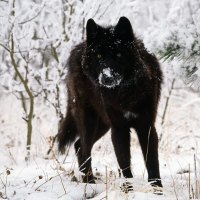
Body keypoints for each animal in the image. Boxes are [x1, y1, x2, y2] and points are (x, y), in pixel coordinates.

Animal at [57, 16, 162, 188]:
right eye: (99, 56)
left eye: (118, 55)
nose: (107, 78)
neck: (124, 94)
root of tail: (79, 47)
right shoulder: (119, 128)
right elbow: (124, 163)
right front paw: (128, 189)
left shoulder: (146, 126)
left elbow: (152, 163)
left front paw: (158, 189)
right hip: (90, 122)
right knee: (84, 148)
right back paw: (89, 183)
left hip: (103, 125)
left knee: (78, 145)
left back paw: (88, 182)